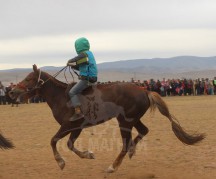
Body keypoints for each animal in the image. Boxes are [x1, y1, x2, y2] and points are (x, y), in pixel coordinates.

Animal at [9, 64, 205, 172]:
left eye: (29, 78)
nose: (12, 91)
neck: (61, 97)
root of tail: (144, 90)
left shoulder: (68, 125)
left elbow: (53, 141)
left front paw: (61, 162)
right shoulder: (77, 128)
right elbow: (70, 144)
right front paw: (88, 154)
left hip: (125, 122)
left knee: (125, 144)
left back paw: (113, 166)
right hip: (131, 119)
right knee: (143, 130)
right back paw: (132, 150)